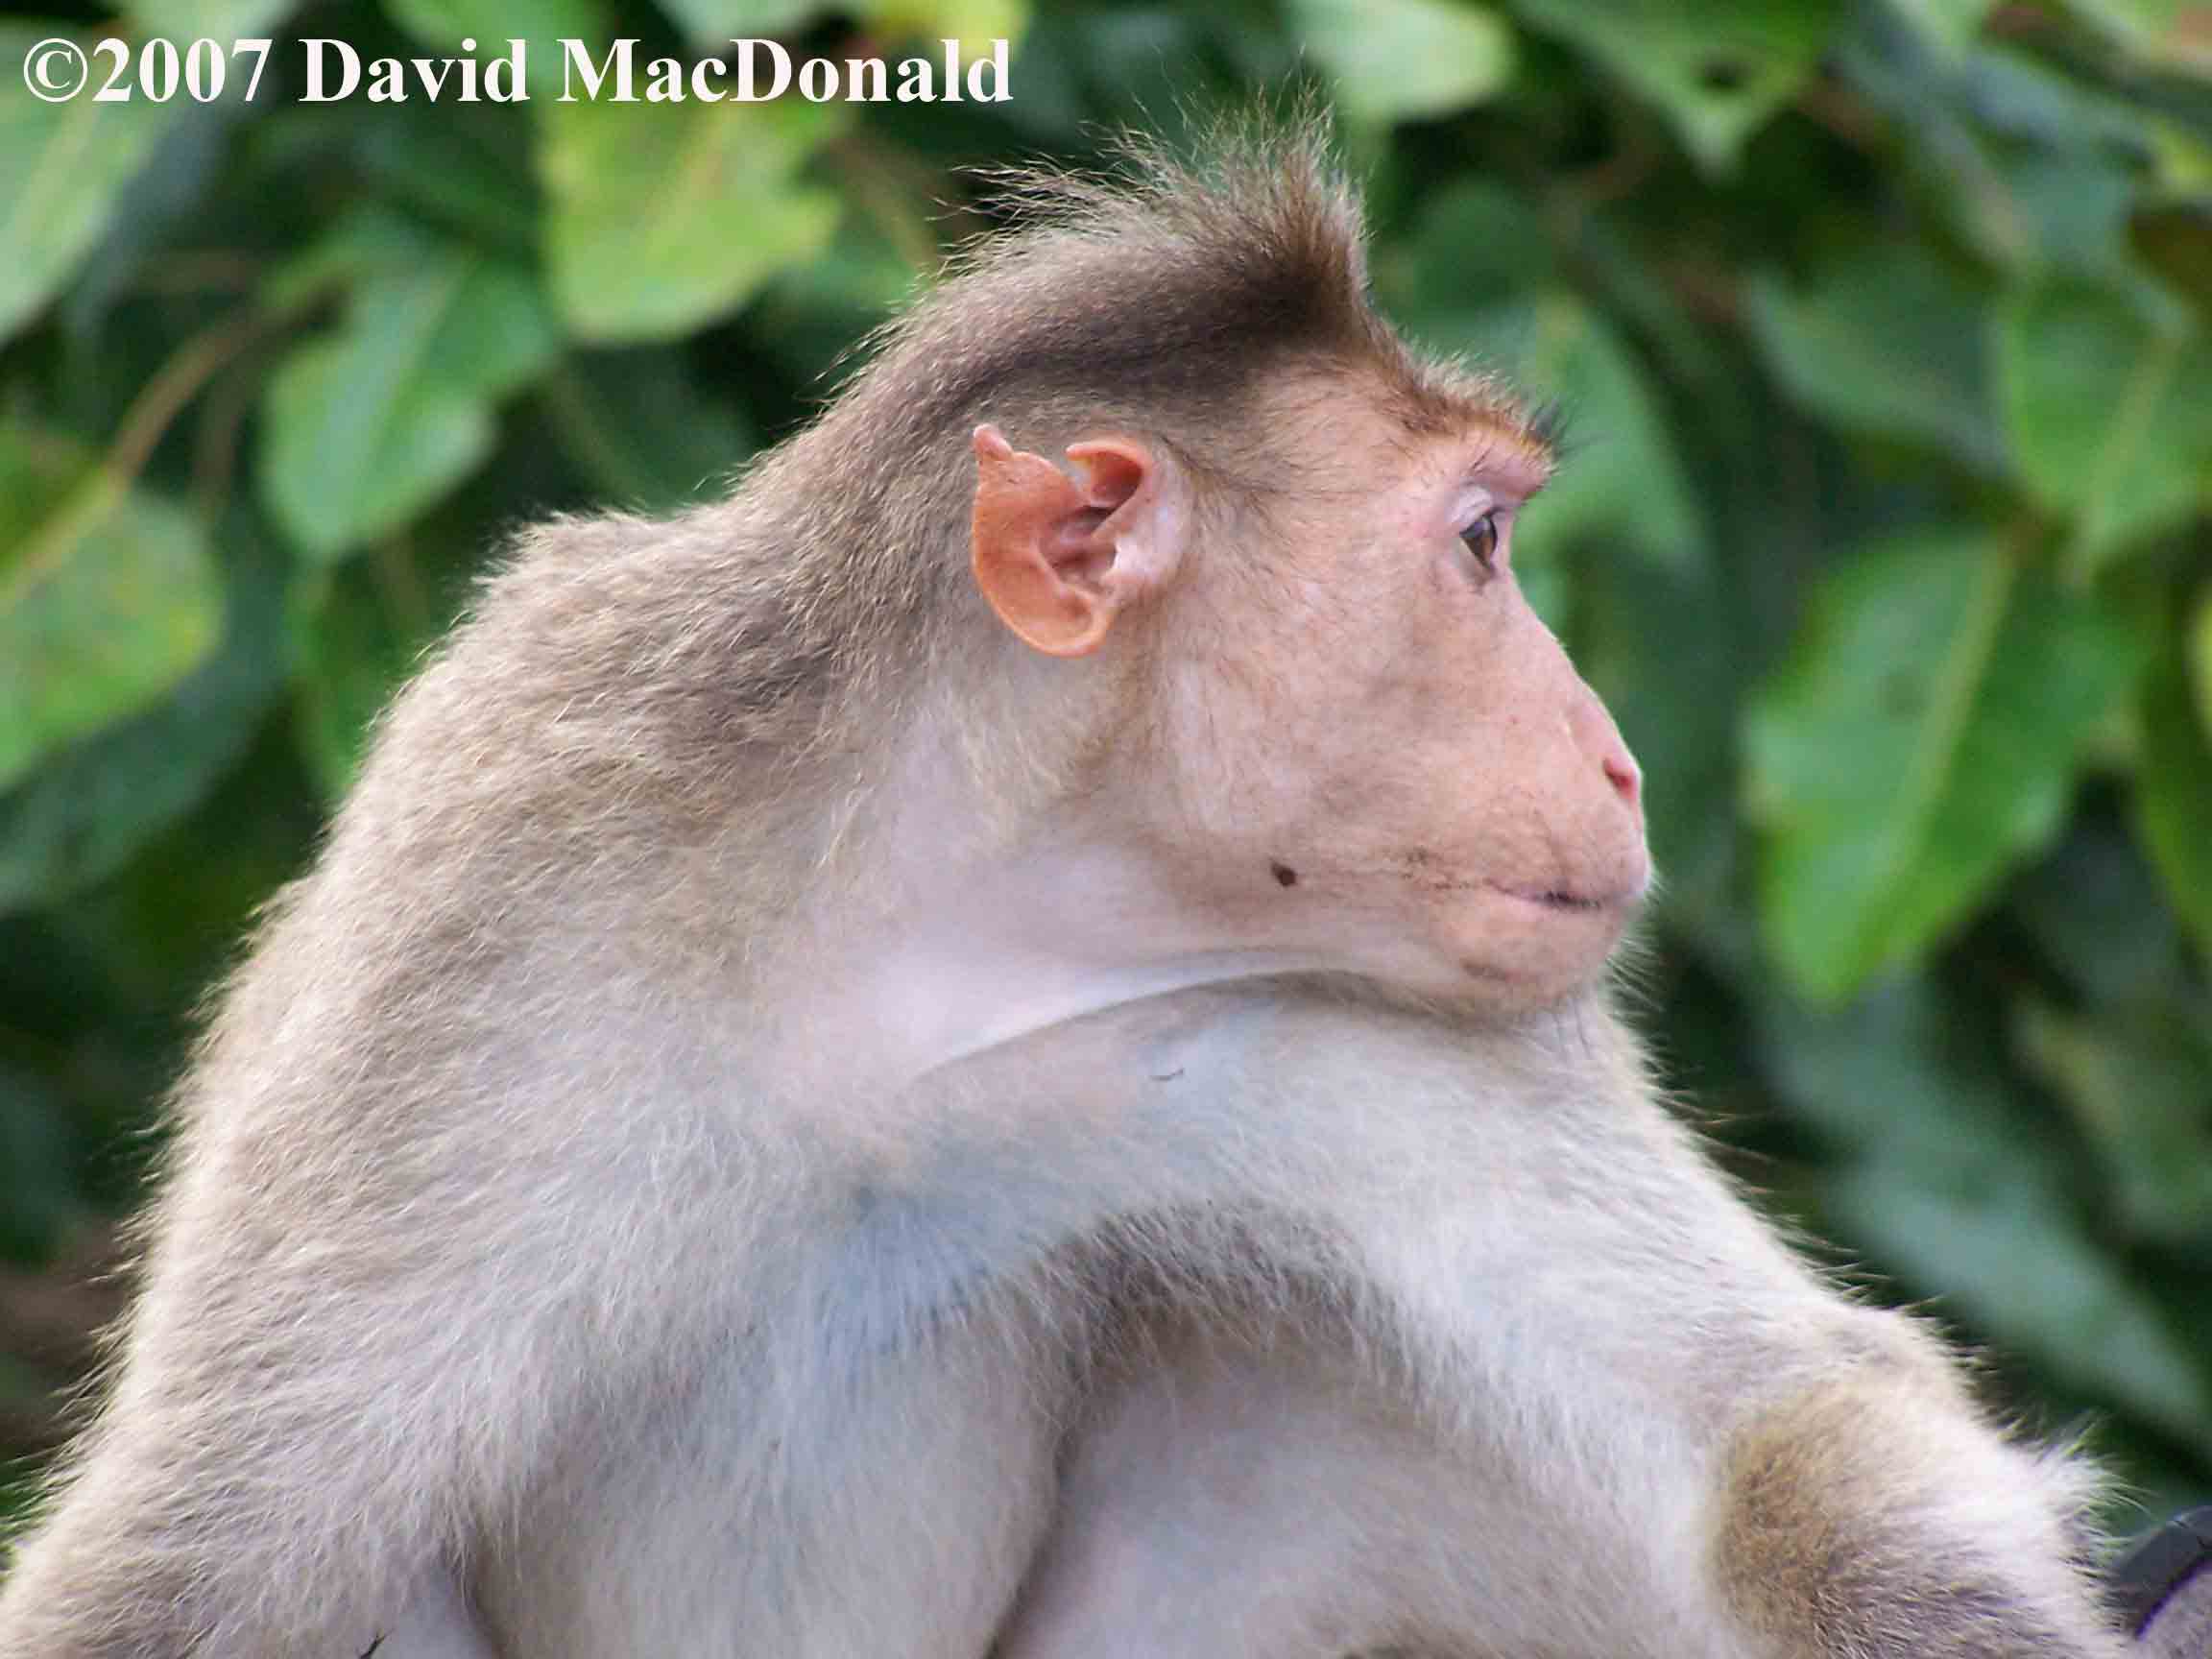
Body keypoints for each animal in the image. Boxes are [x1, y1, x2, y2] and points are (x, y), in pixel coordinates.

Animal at [0, 119, 2158, 1659]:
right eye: (1477, 546)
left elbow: (1775, 1441)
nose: (1620, 757)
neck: (931, 921)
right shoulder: (510, 872)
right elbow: (211, 1548)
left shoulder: (1358, 1007)